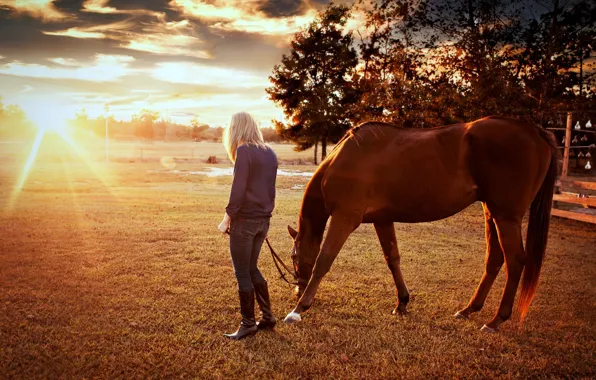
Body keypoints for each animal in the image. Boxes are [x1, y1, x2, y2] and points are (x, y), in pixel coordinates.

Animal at [282, 116, 556, 332]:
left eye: (294, 257)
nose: (297, 290)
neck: (346, 158)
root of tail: (533, 131)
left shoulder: (344, 218)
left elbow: (323, 260)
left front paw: (299, 309)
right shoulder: (382, 219)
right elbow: (392, 259)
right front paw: (402, 302)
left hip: (506, 216)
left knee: (515, 261)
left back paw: (496, 320)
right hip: (491, 212)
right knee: (494, 259)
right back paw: (469, 309)